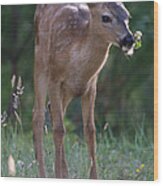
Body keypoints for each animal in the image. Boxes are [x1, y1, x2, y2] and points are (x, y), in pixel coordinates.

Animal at [32, 1, 134, 179]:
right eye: (106, 17)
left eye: (127, 16)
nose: (129, 39)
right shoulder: (54, 78)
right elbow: (59, 129)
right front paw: (57, 175)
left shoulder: (91, 86)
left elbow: (90, 130)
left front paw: (94, 177)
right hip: (40, 62)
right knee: (38, 115)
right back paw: (43, 174)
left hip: (67, 90)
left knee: (52, 109)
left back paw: (65, 173)